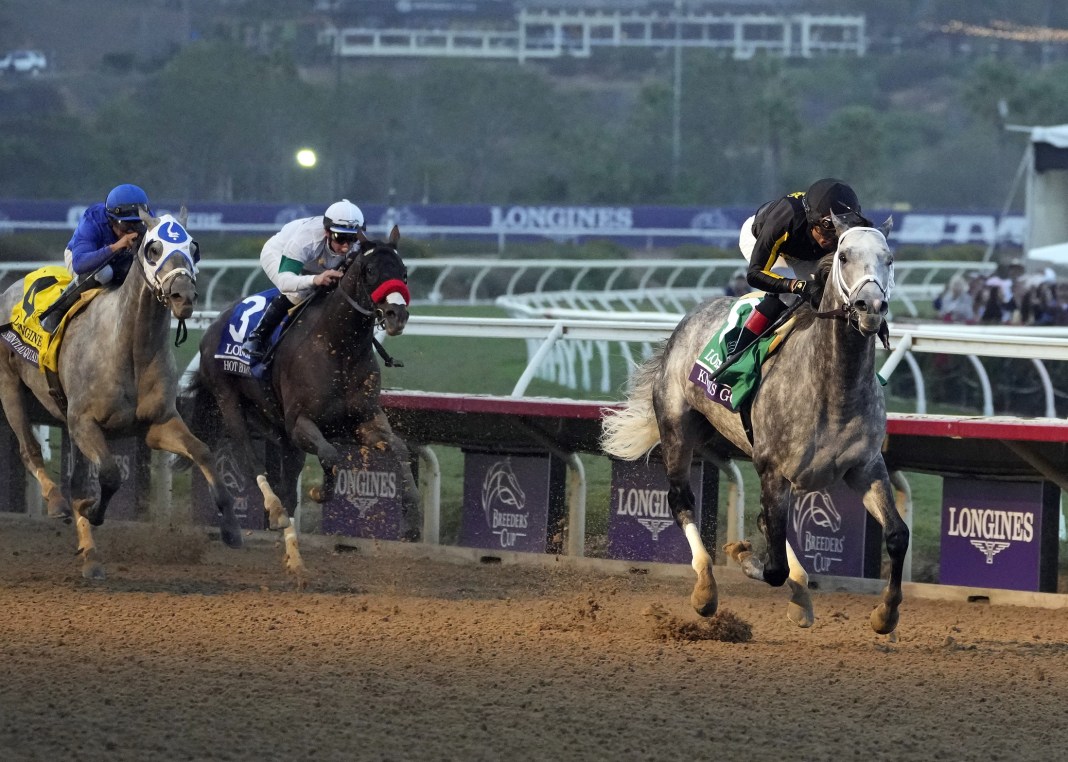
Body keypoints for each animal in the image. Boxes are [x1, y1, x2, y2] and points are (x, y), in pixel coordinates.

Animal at [0, 208, 240, 577]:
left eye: (193, 247)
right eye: (153, 248)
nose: (183, 297)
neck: (129, 346)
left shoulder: (157, 423)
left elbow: (203, 452)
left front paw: (230, 528)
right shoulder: (84, 422)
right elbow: (111, 475)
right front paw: (92, 511)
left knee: (75, 479)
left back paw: (90, 555)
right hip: (10, 387)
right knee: (30, 450)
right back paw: (57, 504)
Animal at [185, 225, 418, 581]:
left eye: (403, 271)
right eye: (369, 270)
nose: (396, 315)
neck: (339, 346)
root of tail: (214, 325)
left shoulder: (363, 421)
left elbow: (400, 449)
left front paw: (411, 512)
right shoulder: (300, 424)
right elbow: (330, 454)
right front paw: (320, 492)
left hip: (276, 427)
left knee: (285, 478)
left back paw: (293, 550)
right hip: (230, 402)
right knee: (250, 459)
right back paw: (275, 512)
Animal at [602, 216, 909, 632]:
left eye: (888, 259)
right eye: (844, 256)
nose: (871, 306)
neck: (834, 389)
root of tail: (689, 319)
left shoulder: (865, 467)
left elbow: (896, 534)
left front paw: (885, 613)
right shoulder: (773, 469)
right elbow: (773, 565)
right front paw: (743, 556)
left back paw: (800, 596)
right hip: (677, 428)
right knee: (681, 500)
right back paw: (706, 588)